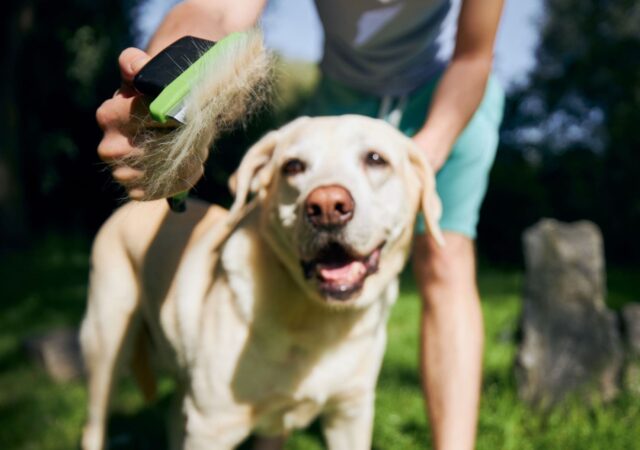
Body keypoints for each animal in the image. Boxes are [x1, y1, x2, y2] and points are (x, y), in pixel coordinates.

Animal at [80, 116, 442, 450]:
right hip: (107, 344)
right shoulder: (211, 426)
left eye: (376, 159)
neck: (315, 318)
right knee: (94, 423)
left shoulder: (350, 414)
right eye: (293, 166)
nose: (327, 206)